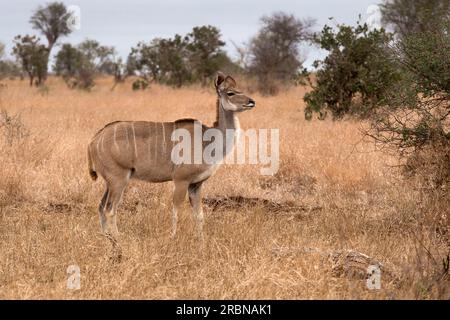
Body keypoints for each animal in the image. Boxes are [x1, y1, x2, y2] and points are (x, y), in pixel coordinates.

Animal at [88, 72, 255, 238]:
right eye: (230, 93)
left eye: (240, 89)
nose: (251, 102)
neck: (207, 140)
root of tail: (94, 140)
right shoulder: (181, 180)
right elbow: (176, 211)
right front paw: (173, 236)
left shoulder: (196, 185)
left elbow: (199, 215)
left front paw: (201, 240)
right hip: (119, 179)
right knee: (110, 209)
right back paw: (117, 238)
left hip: (111, 182)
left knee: (101, 206)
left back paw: (107, 237)